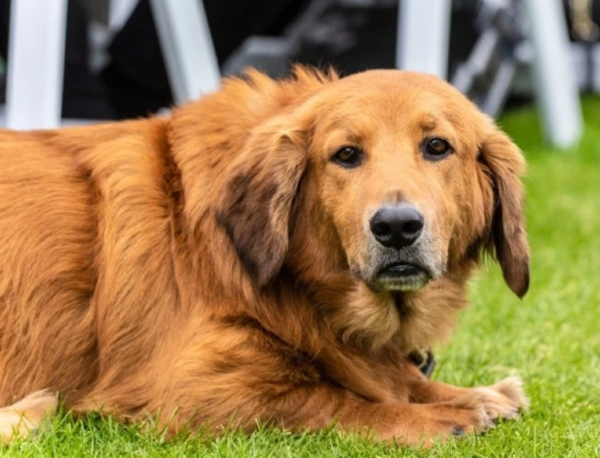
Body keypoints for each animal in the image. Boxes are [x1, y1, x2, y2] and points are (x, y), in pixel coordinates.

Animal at [0, 68, 528, 448]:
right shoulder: (193, 392)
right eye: (346, 154)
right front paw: (440, 416)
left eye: (437, 146)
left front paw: (475, 396)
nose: (396, 227)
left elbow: (395, 377)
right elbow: (335, 401)